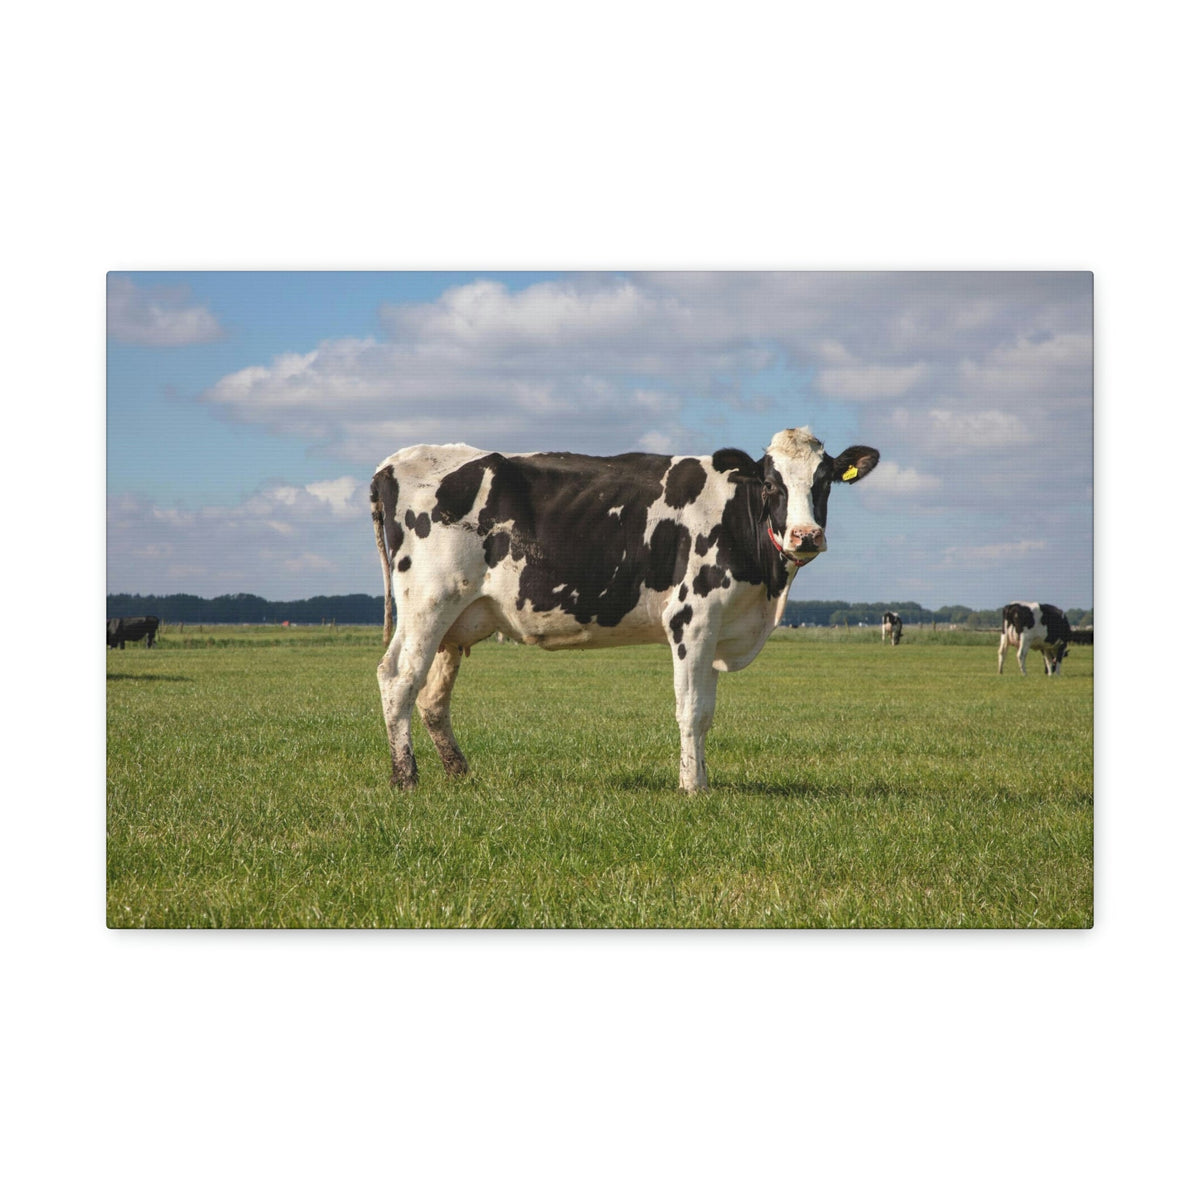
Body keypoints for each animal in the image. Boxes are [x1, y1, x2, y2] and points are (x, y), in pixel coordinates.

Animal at [370, 427, 879, 793]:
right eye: (771, 484)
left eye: (824, 482)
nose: (806, 535)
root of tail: (395, 463)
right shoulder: (691, 619)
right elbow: (691, 710)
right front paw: (692, 787)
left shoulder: (717, 627)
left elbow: (707, 712)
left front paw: (701, 779)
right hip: (427, 602)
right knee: (398, 678)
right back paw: (405, 777)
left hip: (454, 621)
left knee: (433, 697)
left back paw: (458, 772)